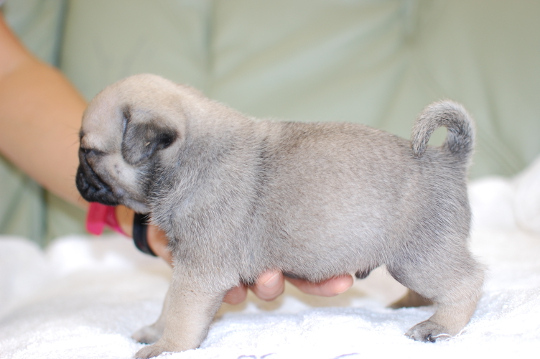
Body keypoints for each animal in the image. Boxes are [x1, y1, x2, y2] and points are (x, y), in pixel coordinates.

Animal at [76, 74, 486, 358]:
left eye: (90, 152)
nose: (77, 177)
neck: (188, 157)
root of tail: (447, 159)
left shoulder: (198, 273)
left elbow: (179, 311)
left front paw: (168, 346)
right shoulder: (189, 268)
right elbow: (168, 304)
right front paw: (155, 330)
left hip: (419, 256)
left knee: (466, 282)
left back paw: (438, 325)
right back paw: (411, 305)